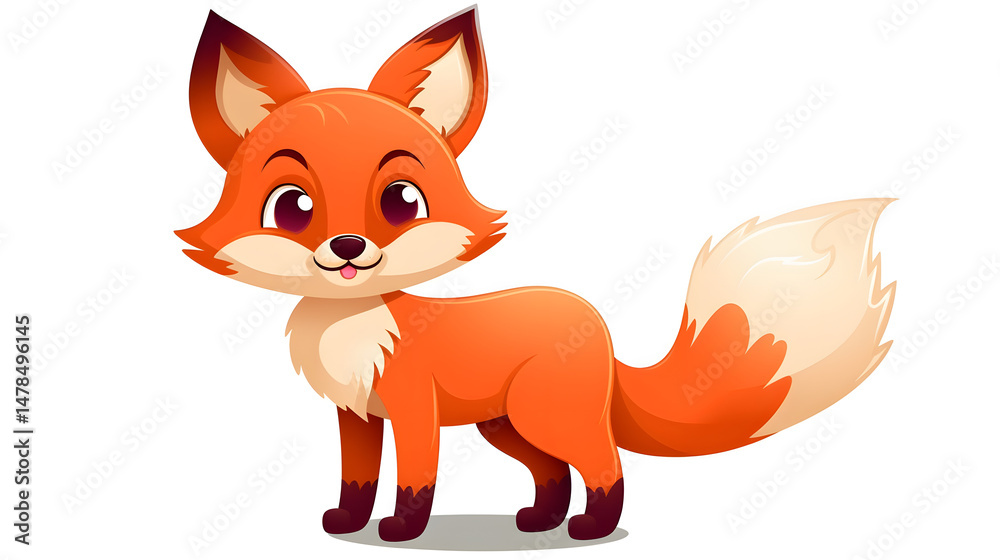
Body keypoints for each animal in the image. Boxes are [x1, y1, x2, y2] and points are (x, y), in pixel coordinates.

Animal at [179, 7, 896, 542]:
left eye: (402, 202)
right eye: (291, 208)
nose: (349, 247)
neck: (355, 326)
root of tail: (595, 321)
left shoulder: (412, 408)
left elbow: (414, 481)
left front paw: (402, 531)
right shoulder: (357, 414)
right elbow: (356, 479)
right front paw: (346, 523)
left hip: (543, 416)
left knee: (604, 464)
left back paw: (591, 528)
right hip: (508, 425)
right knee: (553, 471)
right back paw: (540, 520)